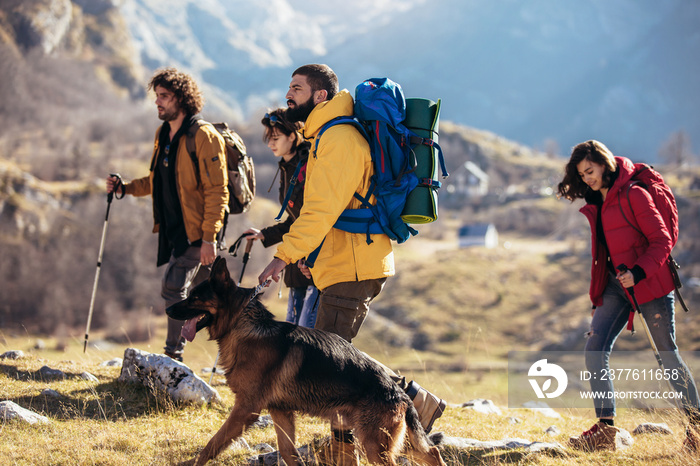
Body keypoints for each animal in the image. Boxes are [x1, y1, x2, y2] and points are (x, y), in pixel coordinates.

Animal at [167, 256, 446, 464]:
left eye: (194, 298)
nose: (168, 309)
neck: (242, 324)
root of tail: (399, 392)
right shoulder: (280, 411)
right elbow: (288, 452)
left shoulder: (246, 409)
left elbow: (213, 444)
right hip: (381, 436)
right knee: (432, 452)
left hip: (374, 444)